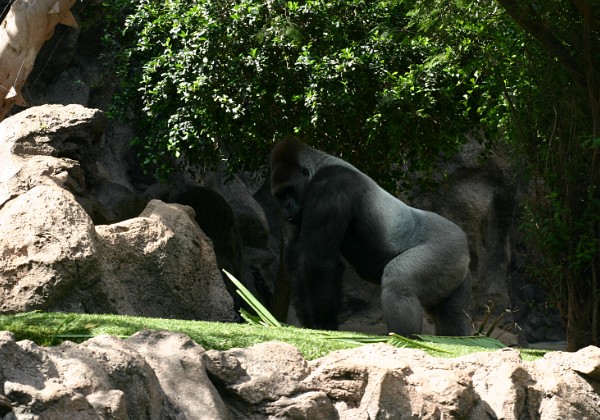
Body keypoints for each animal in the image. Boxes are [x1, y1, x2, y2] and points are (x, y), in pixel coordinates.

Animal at [270, 136, 472, 336]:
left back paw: (405, 337)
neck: (318, 167)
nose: (286, 206)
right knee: (452, 314)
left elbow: (318, 263)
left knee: (399, 281)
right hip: (456, 267)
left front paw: (324, 324)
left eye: (290, 190)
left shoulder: (330, 187)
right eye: (280, 195)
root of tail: (465, 242)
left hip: (448, 245)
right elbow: (298, 262)